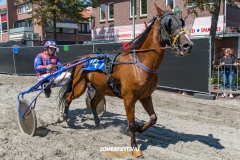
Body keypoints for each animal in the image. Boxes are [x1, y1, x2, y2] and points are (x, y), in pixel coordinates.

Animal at [57, 4, 192, 158]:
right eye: (169, 23)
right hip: (79, 86)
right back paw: (63, 117)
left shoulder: (145, 96)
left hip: (100, 89)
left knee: (92, 103)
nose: (187, 45)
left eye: (181, 22)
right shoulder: (129, 98)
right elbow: (131, 123)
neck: (139, 63)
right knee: (68, 97)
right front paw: (135, 147)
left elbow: (153, 118)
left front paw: (139, 128)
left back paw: (97, 123)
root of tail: (83, 58)